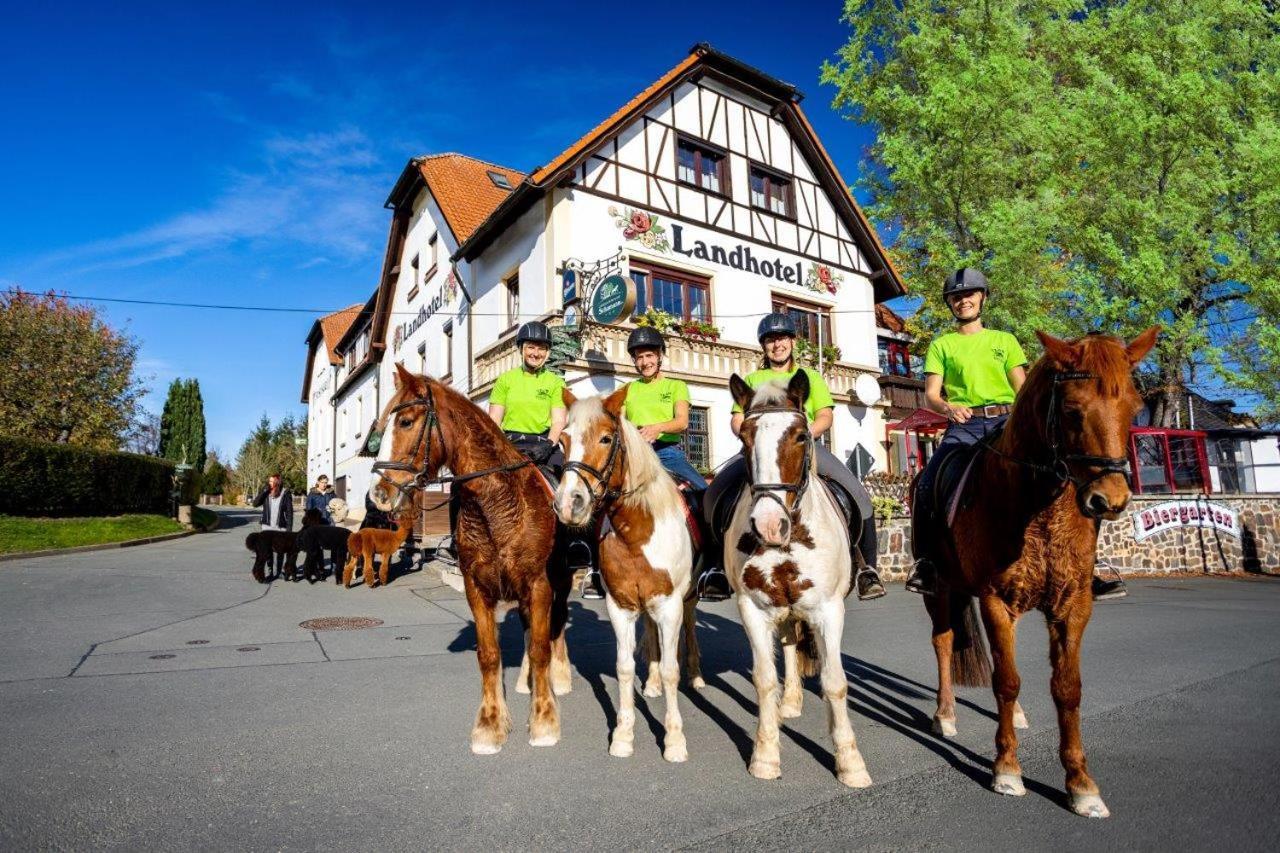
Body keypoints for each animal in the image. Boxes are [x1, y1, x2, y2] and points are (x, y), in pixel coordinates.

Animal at [368, 363, 573, 753]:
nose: (379, 494)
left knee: (554, 624)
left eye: (406, 422)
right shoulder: (476, 586)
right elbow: (489, 654)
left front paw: (544, 721)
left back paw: (560, 676)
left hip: (562, 579)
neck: (496, 502)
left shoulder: (538, 583)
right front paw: (490, 725)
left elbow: (541, 647)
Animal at [555, 384, 706, 758]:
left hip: (688, 597)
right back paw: (650, 684)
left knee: (690, 623)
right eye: (563, 440)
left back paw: (696, 676)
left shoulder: (669, 604)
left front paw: (674, 740)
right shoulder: (621, 605)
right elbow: (624, 668)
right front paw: (623, 735)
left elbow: (671, 668)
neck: (636, 531)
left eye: (606, 438)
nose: (568, 504)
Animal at [727, 368, 875, 788]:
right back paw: (788, 703)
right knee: (790, 643)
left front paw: (850, 763)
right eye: (744, 438)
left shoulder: (828, 610)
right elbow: (764, 679)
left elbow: (835, 682)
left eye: (800, 435)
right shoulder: (753, 609)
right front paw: (764, 755)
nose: (767, 524)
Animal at [921, 325, 1162, 819]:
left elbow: (1066, 689)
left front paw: (1081, 785)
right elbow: (1007, 681)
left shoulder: (1073, 605)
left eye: (1133, 408)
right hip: (939, 590)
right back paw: (945, 714)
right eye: (1071, 410)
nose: (1110, 501)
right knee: (944, 643)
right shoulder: (996, 600)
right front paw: (1007, 770)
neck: (1039, 508)